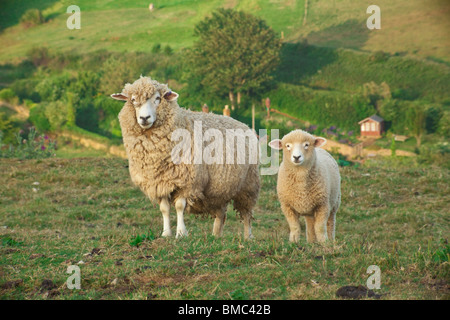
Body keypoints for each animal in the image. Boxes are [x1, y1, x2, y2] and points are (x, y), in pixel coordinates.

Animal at [110, 76, 260, 239]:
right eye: (133, 100)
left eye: (158, 98)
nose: (144, 118)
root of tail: (244, 124)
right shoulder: (160, 182)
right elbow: (164, 208)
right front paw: (166, 233)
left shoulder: (186, 181)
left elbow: (179, 206)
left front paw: (181, 233)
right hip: (220, 188)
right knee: (221, 213)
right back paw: (216, 235)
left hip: (248, 184)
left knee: (246, 213)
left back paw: (248, 236)